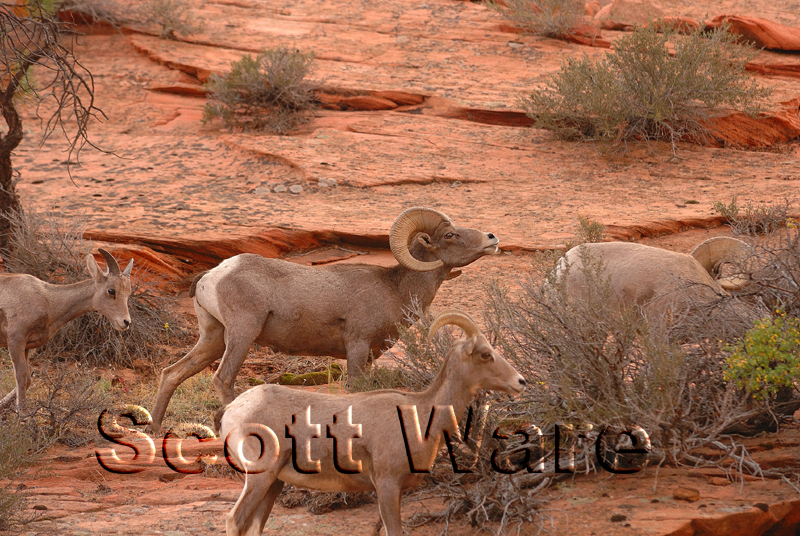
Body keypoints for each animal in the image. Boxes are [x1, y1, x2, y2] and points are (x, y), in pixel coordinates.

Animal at [0, 249, 133, 413]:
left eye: (128, 293)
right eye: (111, 290)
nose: (125, 322)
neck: (49, 301)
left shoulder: (26, 347)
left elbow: (28, 380)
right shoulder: (15, 341)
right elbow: (21, 376)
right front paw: (23, 414)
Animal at [148, 207, 500, 435]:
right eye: (450, 234)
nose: (492, 238)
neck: (395, 289)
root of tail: (213, 275)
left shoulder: (372, 355)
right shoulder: (357, 346)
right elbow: (355, 390)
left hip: (212, 338)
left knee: (172, 373)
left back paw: (155, 428)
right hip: (241, 335)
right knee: (222, 379)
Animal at [217, 309, 526, 536]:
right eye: (485, 354)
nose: (520, 382)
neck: (420, 415)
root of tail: (233, 411)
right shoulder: (387, 486)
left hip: (273, 484)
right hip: (260, 478)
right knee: (234, 520)